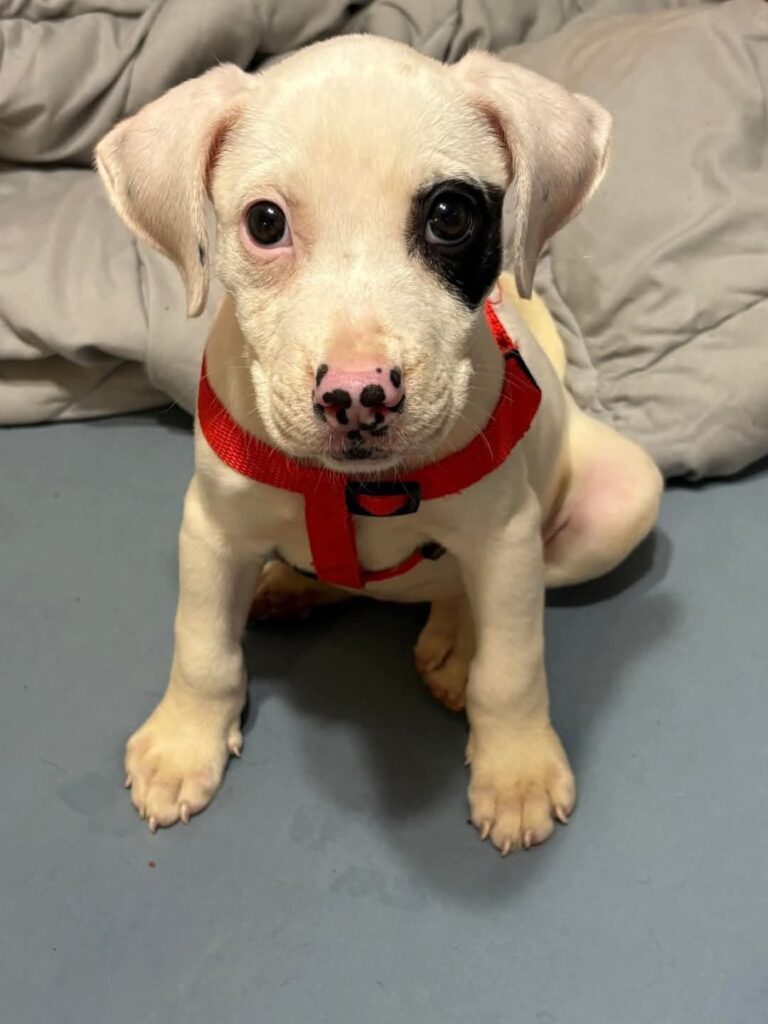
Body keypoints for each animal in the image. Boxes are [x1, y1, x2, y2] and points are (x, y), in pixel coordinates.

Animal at [95, 35, 662, 855]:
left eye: (450, 216)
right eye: (265, 222)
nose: (358, 397)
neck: (351, 487)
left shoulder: (506, 535)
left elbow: (513, 667)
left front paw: (516, 770)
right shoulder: (212, 528)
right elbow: (201, 646)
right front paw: (183, 743)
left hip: (622, 499)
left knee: (474, 592)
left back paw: (455, 640)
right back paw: (295, 585)